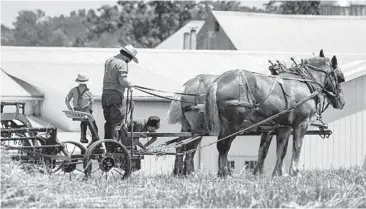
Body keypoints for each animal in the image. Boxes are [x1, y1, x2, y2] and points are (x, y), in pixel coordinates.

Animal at [206, 50, 346, 176]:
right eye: (340, 78)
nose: (342, 102)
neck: (305, 83)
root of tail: (218, 81)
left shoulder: (283, 127)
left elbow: (279, 151)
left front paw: (278, 174)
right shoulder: (301, 123)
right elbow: (297, 146)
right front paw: (295, 172)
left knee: (223, 147)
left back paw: (223, 173)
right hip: (233, 124)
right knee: (223, 146)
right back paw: (226, 174)